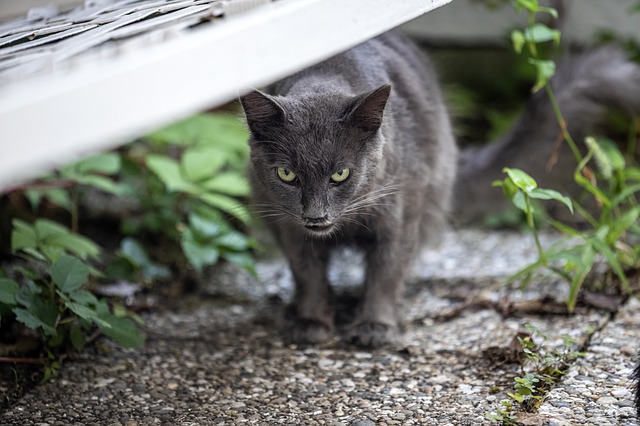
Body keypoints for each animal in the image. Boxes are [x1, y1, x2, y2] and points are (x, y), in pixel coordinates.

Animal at [240, 32, 456, 346]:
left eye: (340, 174)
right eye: (286, 174)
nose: (316, 216)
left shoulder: (400, 212)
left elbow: (387, 270)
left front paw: (375, 326)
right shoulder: (289, 224)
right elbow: (306, 271)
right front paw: (311, 321)